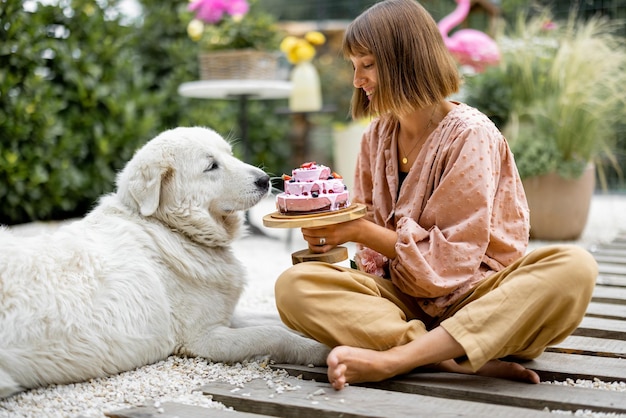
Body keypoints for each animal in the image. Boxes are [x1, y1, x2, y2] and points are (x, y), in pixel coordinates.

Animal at [0, 126, 330, 398]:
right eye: (211, 166)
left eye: (230, 154)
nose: (264, 180)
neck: (170, 228)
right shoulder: (205, 339)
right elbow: (275, 334)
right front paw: (320, 350)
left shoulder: (224, 315)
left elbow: (275, 320)